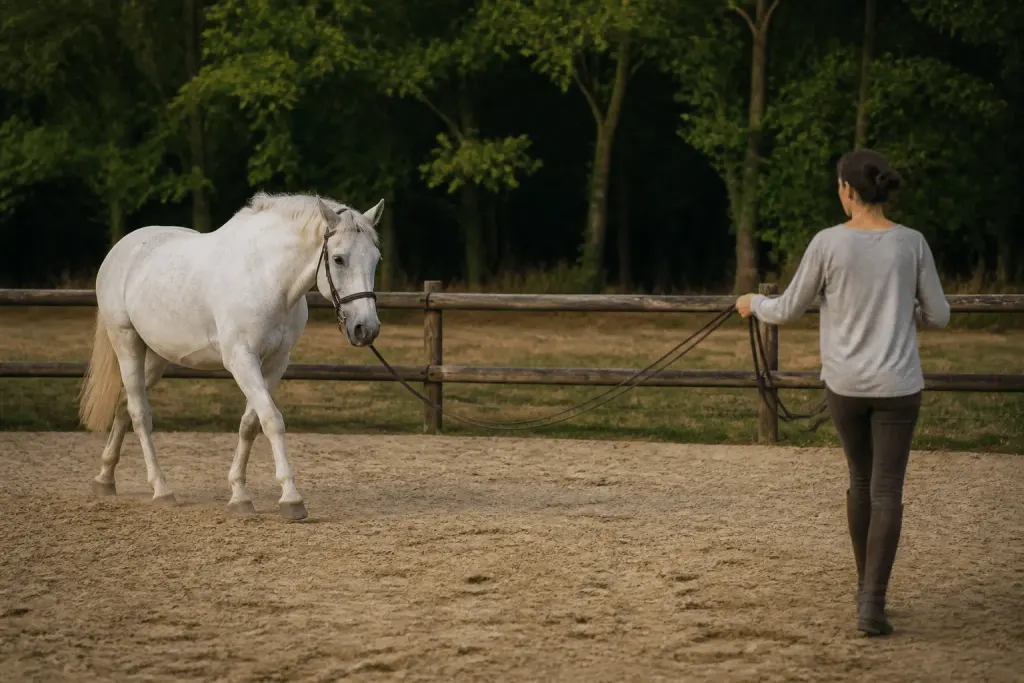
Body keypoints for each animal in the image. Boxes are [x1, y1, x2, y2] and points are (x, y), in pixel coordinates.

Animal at [78, 192, 384, 520]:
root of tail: (121, 249)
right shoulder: (241, 359)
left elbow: (250, 424)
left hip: (157, 357)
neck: (267, 279)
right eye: (338, 258)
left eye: (376, 259)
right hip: (127, 343)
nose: (366, 329)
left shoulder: (275, 363)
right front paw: (291, 498)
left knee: (124, 404)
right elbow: (271, 420)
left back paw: (105, 478)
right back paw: (161, 489)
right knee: (139, 413)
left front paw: (239, 495)